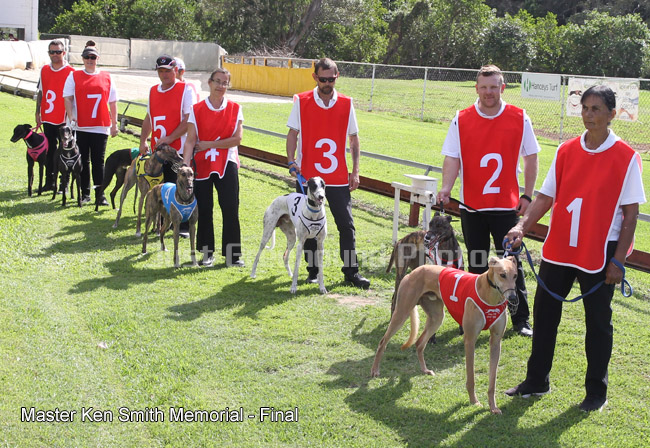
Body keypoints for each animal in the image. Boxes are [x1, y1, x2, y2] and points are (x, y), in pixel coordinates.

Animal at [371, 256, 519, 414]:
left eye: (515, 276)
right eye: (502, 275)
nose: (513, 298)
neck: (489, 295)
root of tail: (415, 270)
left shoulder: (496, 341)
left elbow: (492, 381)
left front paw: (493, 407)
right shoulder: (470, 339)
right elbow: (471, 378)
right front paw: (474, 401)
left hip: (436, 318)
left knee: (419, 343)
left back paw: (424, 370)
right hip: (401, 313)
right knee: (382, 342)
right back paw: (375, 371)